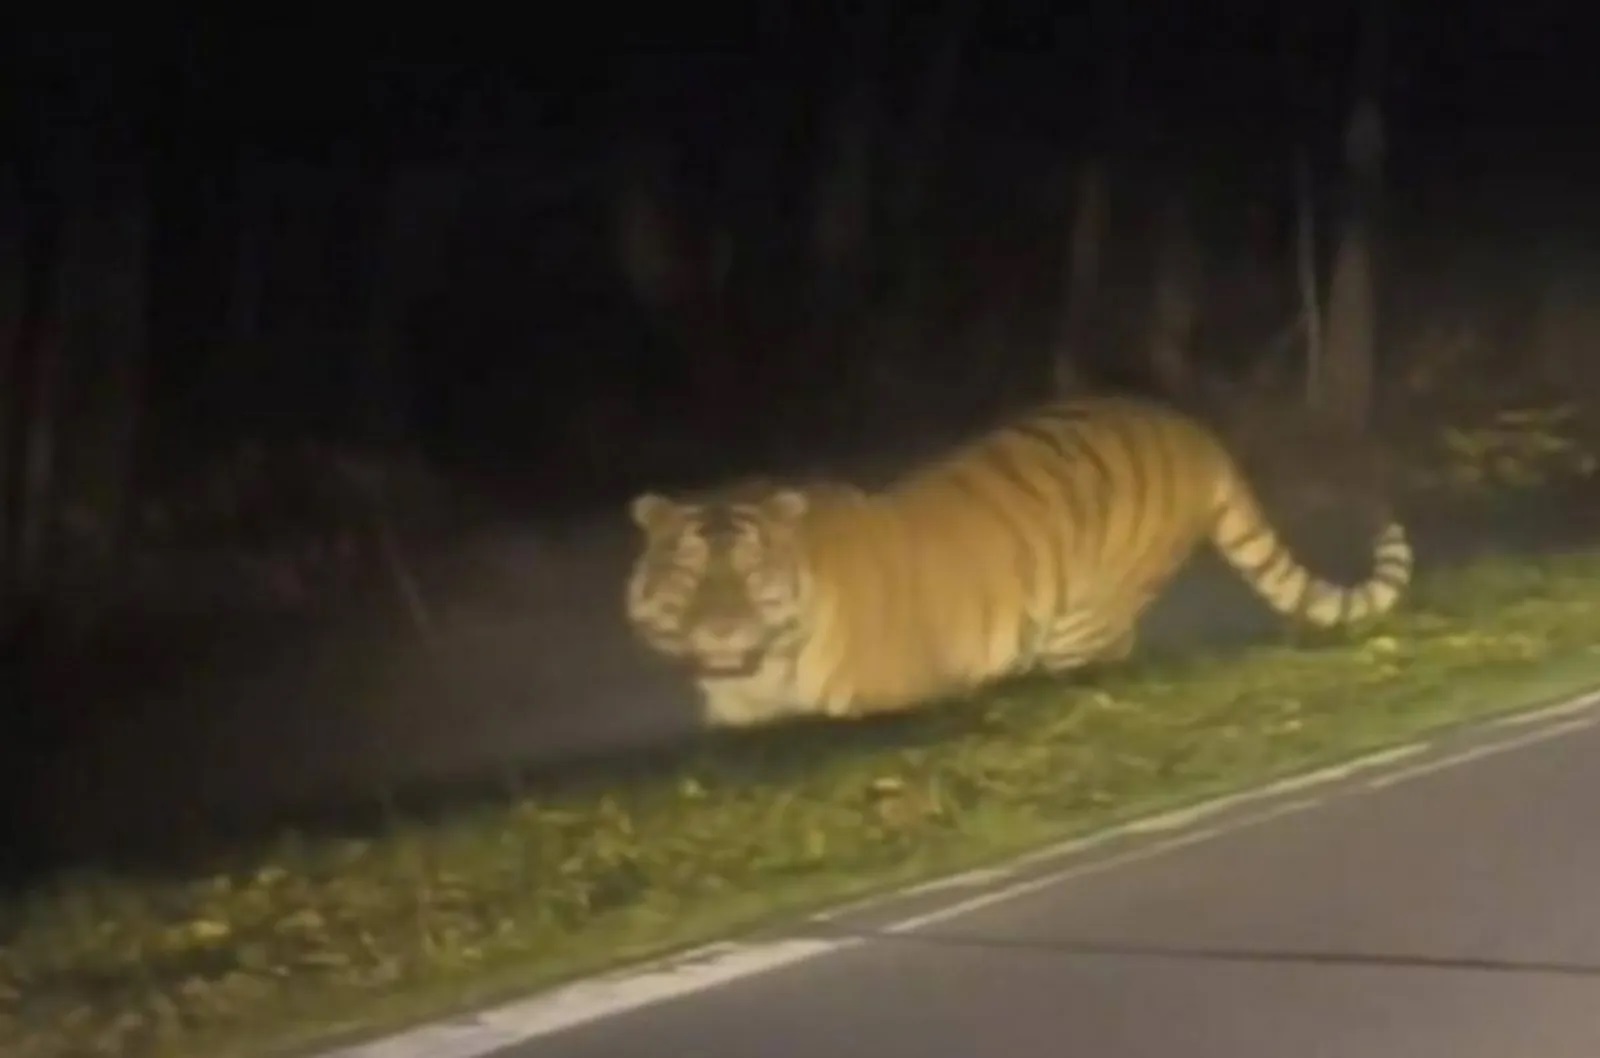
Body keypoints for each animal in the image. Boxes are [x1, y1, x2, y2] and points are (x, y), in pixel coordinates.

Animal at [624, 394, 1414, 729]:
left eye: (750, 576)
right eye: (689, 577)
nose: (721, 631)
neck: (763, 672)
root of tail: (1189, 427)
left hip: (1082, 625)